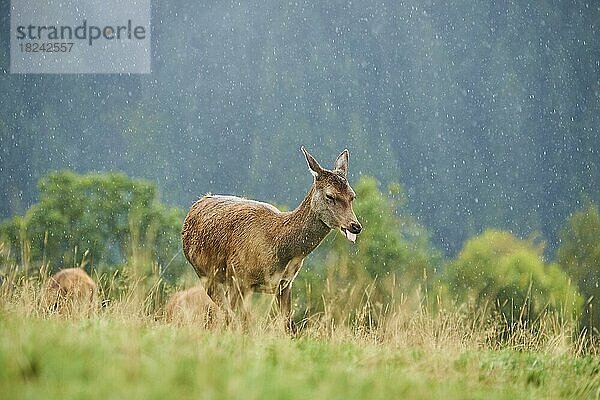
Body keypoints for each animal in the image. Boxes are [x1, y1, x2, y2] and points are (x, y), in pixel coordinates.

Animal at [182, 145, 360, 330]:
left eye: (352, 196)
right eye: (329, 196)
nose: (355, 226)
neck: (280, 249)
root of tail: (196, 205)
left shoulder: (285, 284)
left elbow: (288, 324)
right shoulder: (239, 277)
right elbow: (235, 319)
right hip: (205, 273)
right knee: (225, 314)